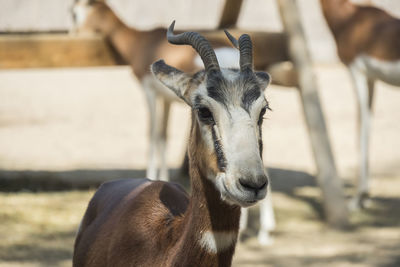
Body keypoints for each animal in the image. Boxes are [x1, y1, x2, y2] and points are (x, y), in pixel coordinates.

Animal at [320, 0, 400, 209]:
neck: (349, 18)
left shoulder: (357, 72)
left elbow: (361, 127)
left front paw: (358, 198)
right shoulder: (372, 79)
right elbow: (368, 126)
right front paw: (364, 196)